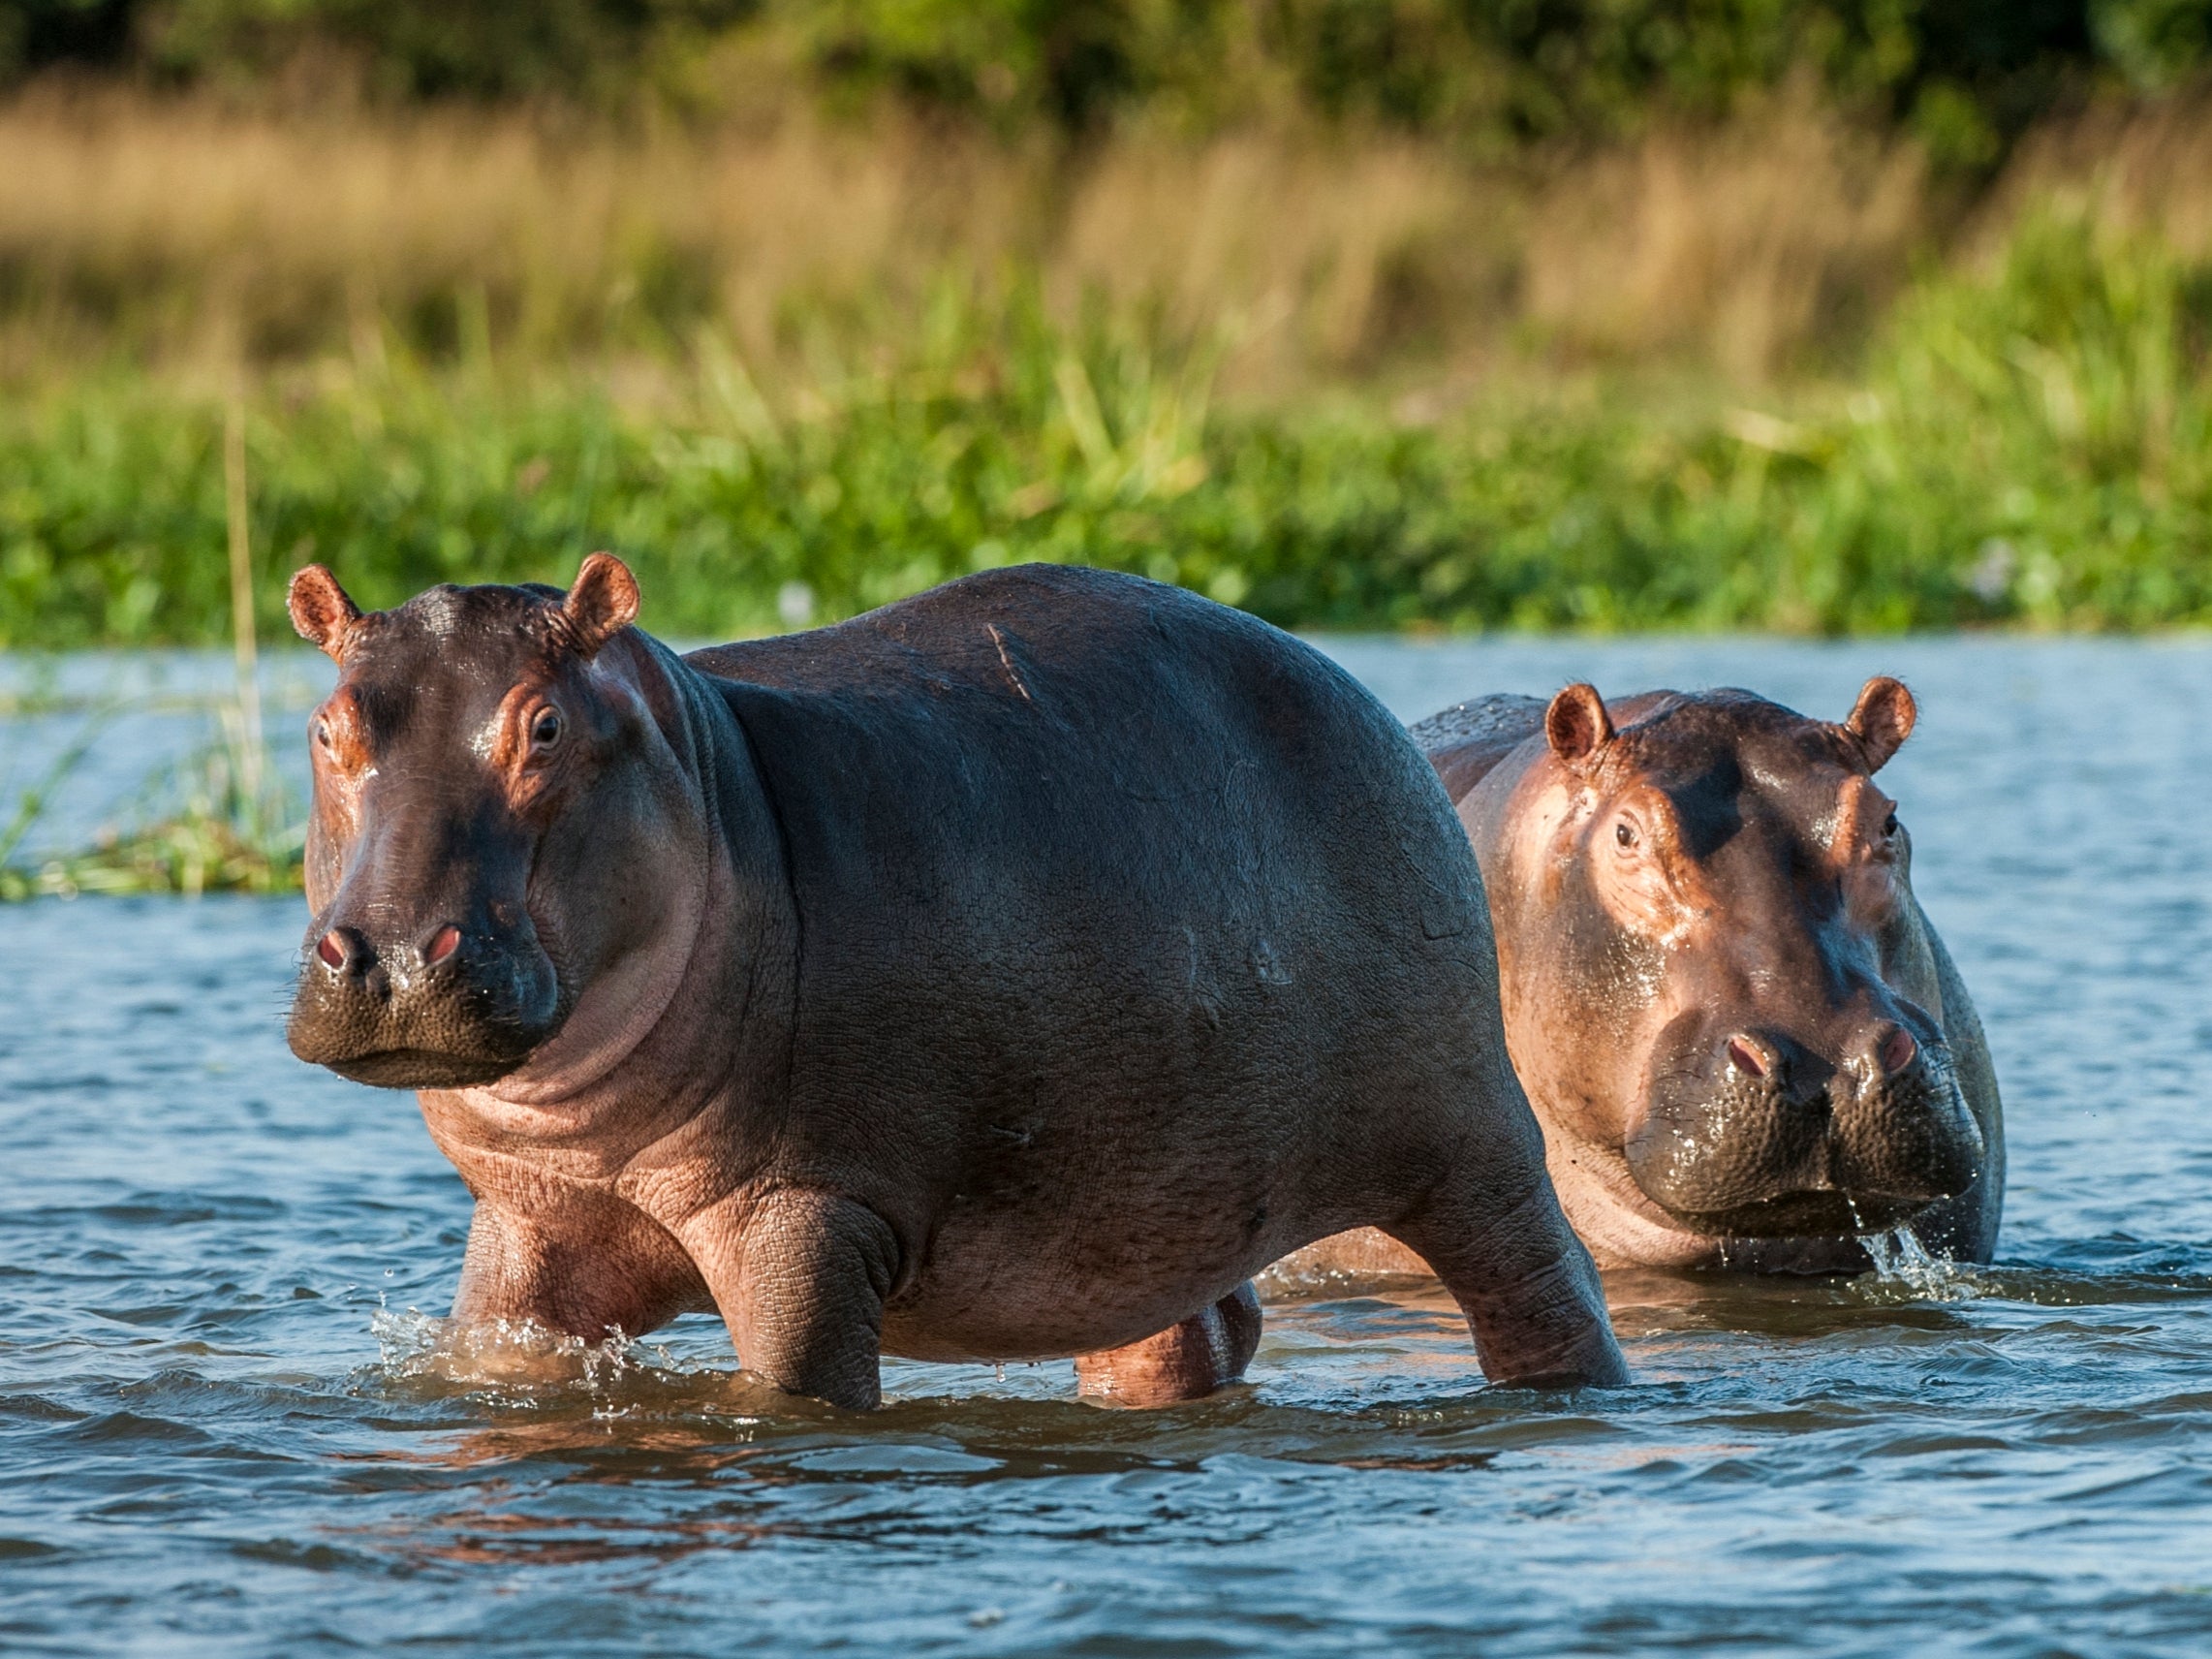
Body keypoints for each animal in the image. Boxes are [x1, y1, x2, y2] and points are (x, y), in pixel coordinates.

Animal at [280, 554, 1628, 1406]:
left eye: (545, 724)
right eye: (326, 726)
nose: (389, 954)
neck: (706, 777)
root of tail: (1366, 699)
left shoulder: (806, 1212)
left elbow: (796, 1388)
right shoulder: (530, 1221)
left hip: (1470, 1140)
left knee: (1542, 1285)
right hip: (1146, 1199)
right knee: (1187, 1334)